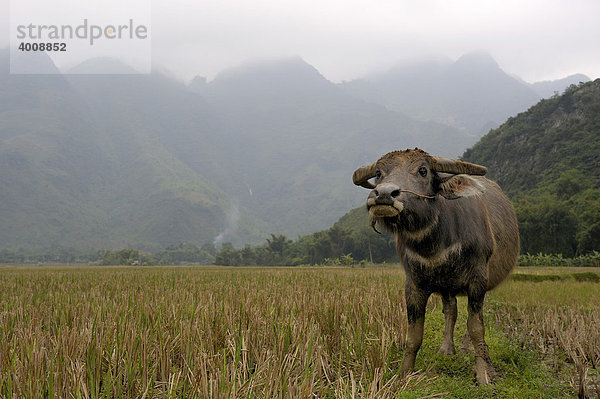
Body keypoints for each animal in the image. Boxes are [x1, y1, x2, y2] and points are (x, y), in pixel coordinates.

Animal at [354, 149, 516, 384]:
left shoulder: (478, 280)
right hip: (447, 287)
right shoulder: (413, 284)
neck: (434, 244)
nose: (384, 194)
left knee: (470, 318)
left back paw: (467, 349)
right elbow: (414, 335)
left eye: (423, 170)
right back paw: (447, 349)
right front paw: (404, 374)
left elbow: (477, 328)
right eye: (378, 172)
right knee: (451, 311)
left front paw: (484, 374)